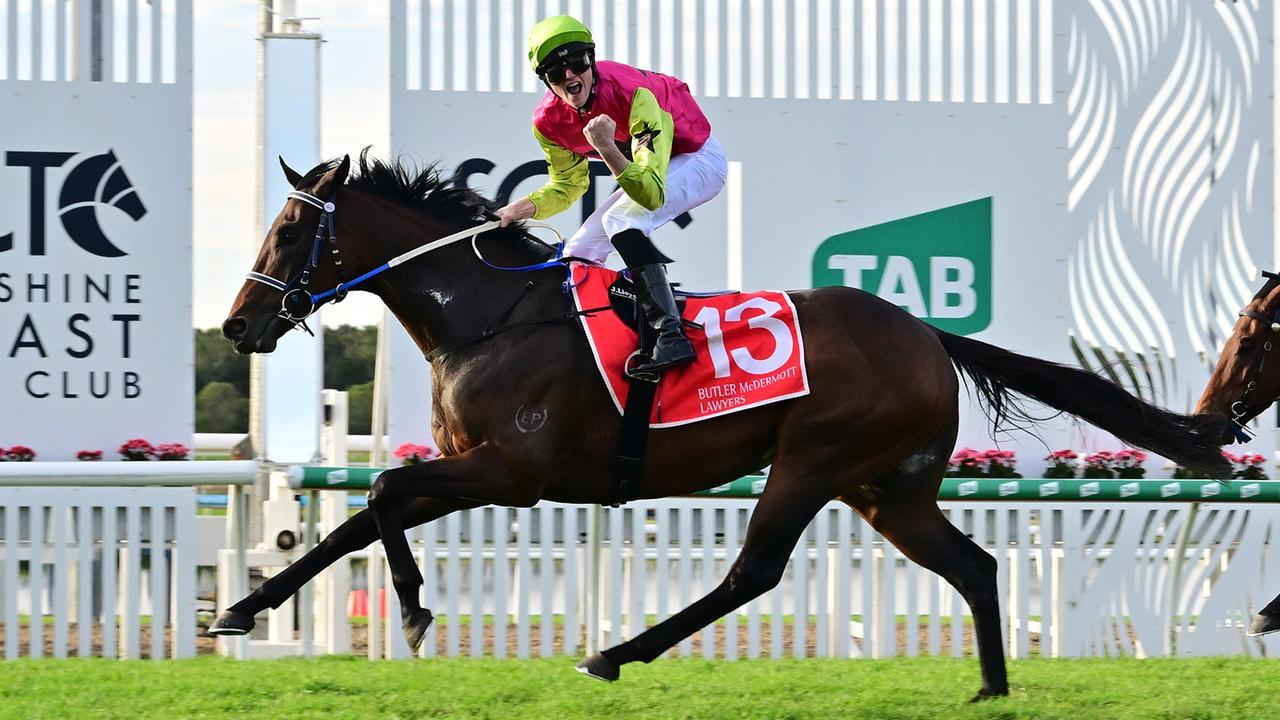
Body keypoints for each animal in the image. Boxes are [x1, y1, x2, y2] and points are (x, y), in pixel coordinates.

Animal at [215, 151, 1233, 696]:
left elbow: (384, 492)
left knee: (754, 571)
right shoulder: (469, 464)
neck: (488, 315)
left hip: (814, 461)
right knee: (973, 566)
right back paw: (989, 686)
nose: (238, 326)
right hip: (887, 488)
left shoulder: (511, 471)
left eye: (287, 233)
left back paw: (614, 654)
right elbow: (354, 520)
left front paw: (418, 608)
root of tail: (924, 331)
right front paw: (240, 610)